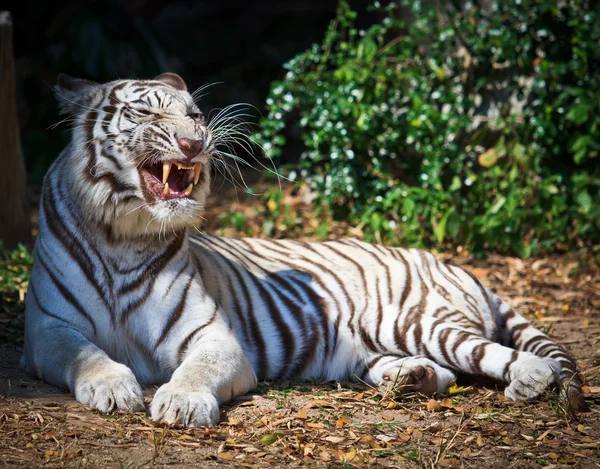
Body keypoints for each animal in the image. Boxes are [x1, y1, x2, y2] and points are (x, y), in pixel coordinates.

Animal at [21, 71, 584, 426]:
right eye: (144, 113)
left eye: (196, 114)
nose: (196, 141)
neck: (125, 236)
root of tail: (451, 265)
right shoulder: (47, 328)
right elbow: (83, 353)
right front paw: (114, 387)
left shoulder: (216, 337)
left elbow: (195, 369)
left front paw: (181, 403)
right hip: (375, 346)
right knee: (440, 371)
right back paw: (411, 377)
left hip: (419, 321)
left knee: (501, 355)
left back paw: (528, 381)